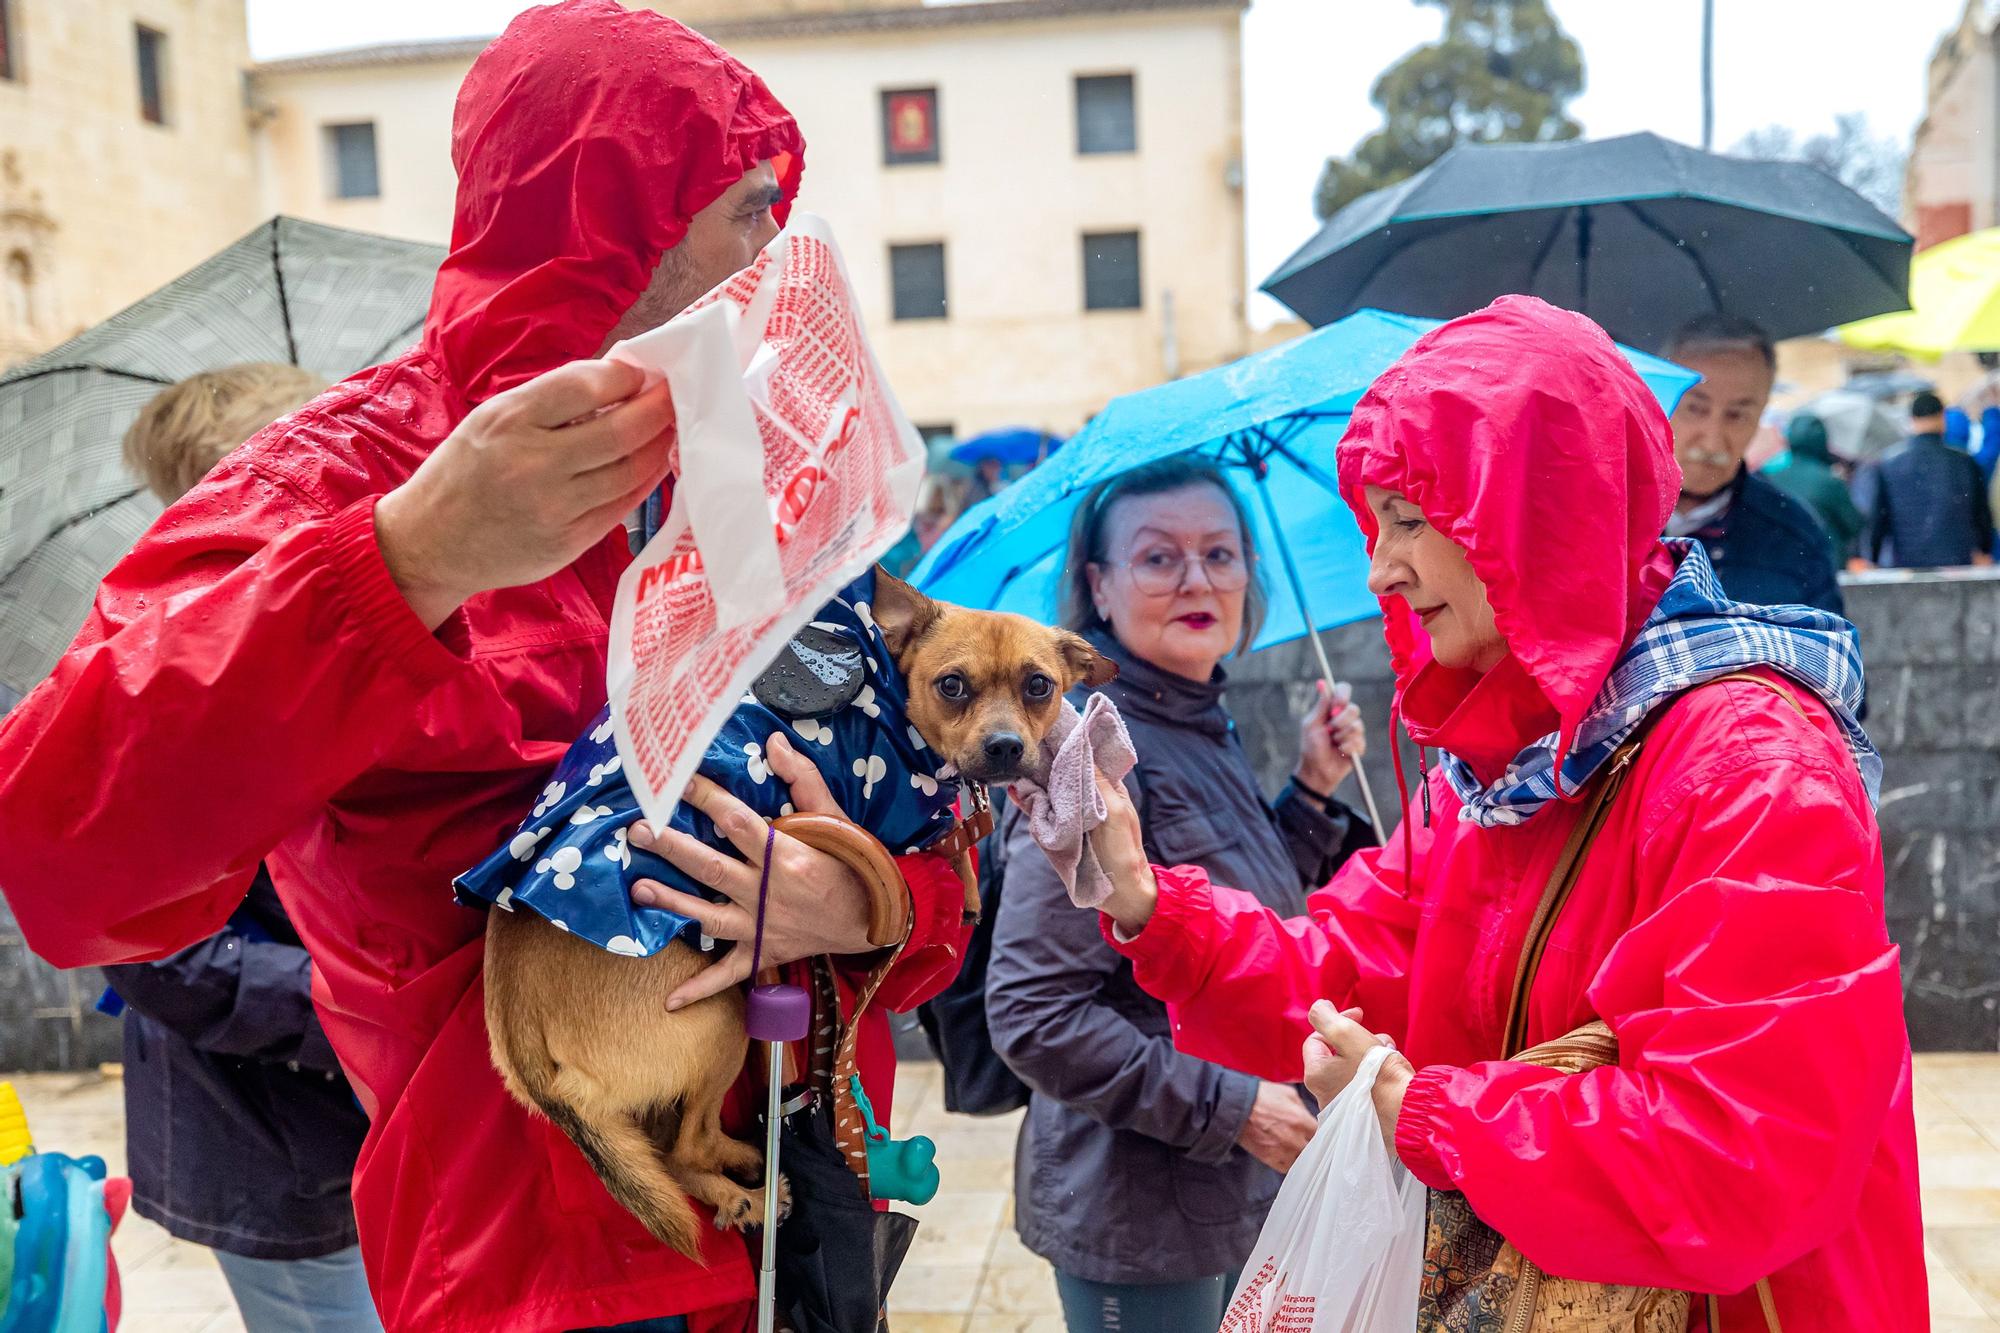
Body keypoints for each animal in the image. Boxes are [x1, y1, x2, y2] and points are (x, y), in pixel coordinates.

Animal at [478, 564, 1120, 1248]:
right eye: (952, 685)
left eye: (1038, 686)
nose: (1003, 747)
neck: (888, 688)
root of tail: (519, 1042)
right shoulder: (892, 813)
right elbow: (948, 843)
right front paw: (963, 883)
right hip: (723, 1023)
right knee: (689, 1149)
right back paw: (752, 1186)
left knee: (672, 1157)